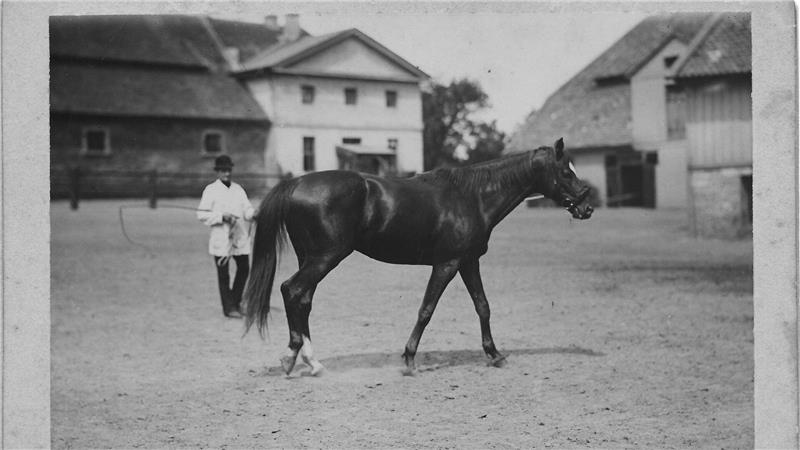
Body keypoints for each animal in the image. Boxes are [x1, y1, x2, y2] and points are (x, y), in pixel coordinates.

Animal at [243, 138, 593, 376]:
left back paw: (309, 360)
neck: (472, 196)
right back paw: (296, 358)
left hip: (312, 258)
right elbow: (426, 309)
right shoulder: (447, 264)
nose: (587, 207)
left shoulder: (469, 262)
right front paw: (410, 359)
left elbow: (483, 306)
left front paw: (494, 354)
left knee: (302, 299)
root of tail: (296, 182)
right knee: (292, 290)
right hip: (324, 258)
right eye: (566, 172)